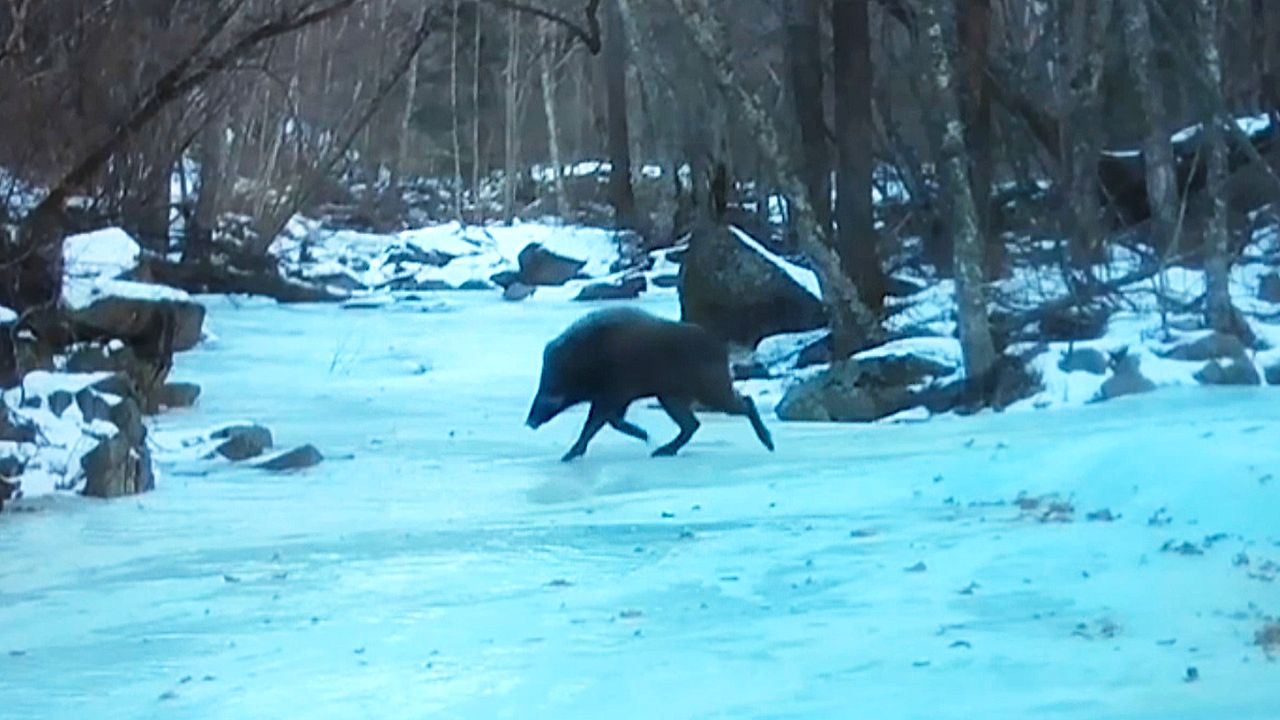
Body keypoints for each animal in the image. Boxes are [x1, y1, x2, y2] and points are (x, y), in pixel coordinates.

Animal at [526, 307, 775, 461]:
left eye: (552, 379)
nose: (529, 421)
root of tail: (722, 349)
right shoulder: (616, 398)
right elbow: (610, 422)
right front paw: (645, 436)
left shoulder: (612, 395)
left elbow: (594, 424)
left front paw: (568, 455)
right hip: (671, 397)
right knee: (692, 424)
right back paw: (663, 451)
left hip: (710, 390)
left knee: (745, 402)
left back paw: (769, 443)